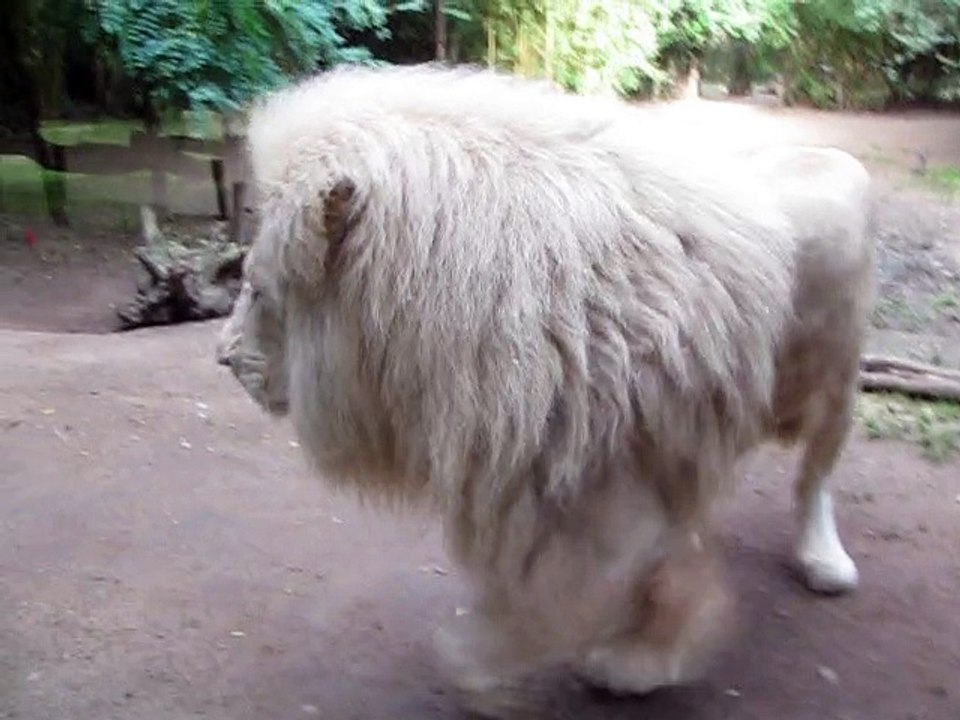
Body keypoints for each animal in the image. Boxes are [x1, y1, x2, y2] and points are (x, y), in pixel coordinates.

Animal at [215, 63, 874, 716]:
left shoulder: (598, 481)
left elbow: (584, 594)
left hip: (831, 383)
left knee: (815, 475)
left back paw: (824, 559)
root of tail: (832, 155)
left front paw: (618, 662)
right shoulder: (554, 480)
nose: (221, 357)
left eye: (256, 290)